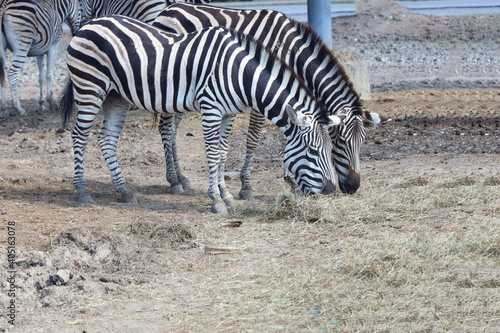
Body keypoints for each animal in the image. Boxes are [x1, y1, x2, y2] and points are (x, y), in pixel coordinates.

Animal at [57, 15, 340, 213]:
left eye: (330, 151)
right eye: (313, 151)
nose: (331, 191)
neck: (239, 74)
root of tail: (89, 24)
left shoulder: (229, 114)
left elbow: (223, 153)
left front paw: (226, 195)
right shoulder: (211, 109)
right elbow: (213, 155)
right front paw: (216, 201)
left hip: (116, 96)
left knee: (106, 140)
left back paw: (124, 191)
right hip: (90, 87)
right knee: (79, 137)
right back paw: (82, 190)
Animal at [152, 2, 390, 198]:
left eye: (362, 141)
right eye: (340, 140)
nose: (353, 187)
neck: (290, 50)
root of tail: (169, 8)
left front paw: (290, 178)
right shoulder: (263, 90)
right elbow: (254, 138)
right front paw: (246, 186)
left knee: (173, 129)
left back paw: (181, 177)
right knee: (166, 128)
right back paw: (173, 181)